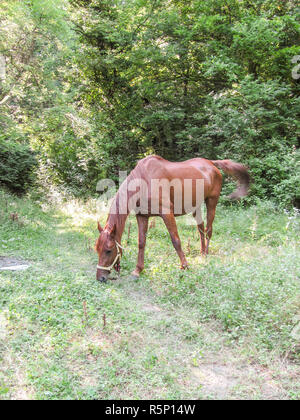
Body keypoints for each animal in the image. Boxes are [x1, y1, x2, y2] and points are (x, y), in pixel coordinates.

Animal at [95, 156, 250, 284]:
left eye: (108, 250)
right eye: (97, 249)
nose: (100, 278)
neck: (145, 180)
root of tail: (211, 163)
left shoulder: (167, 213)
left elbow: (176, 240)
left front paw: (185, 266)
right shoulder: (142, 216)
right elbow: (141, 243)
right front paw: (138, 270)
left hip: (212, 202)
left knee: (208, 230)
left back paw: (206, 255)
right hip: (197, 207)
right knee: (201, 228)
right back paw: (202, 253)